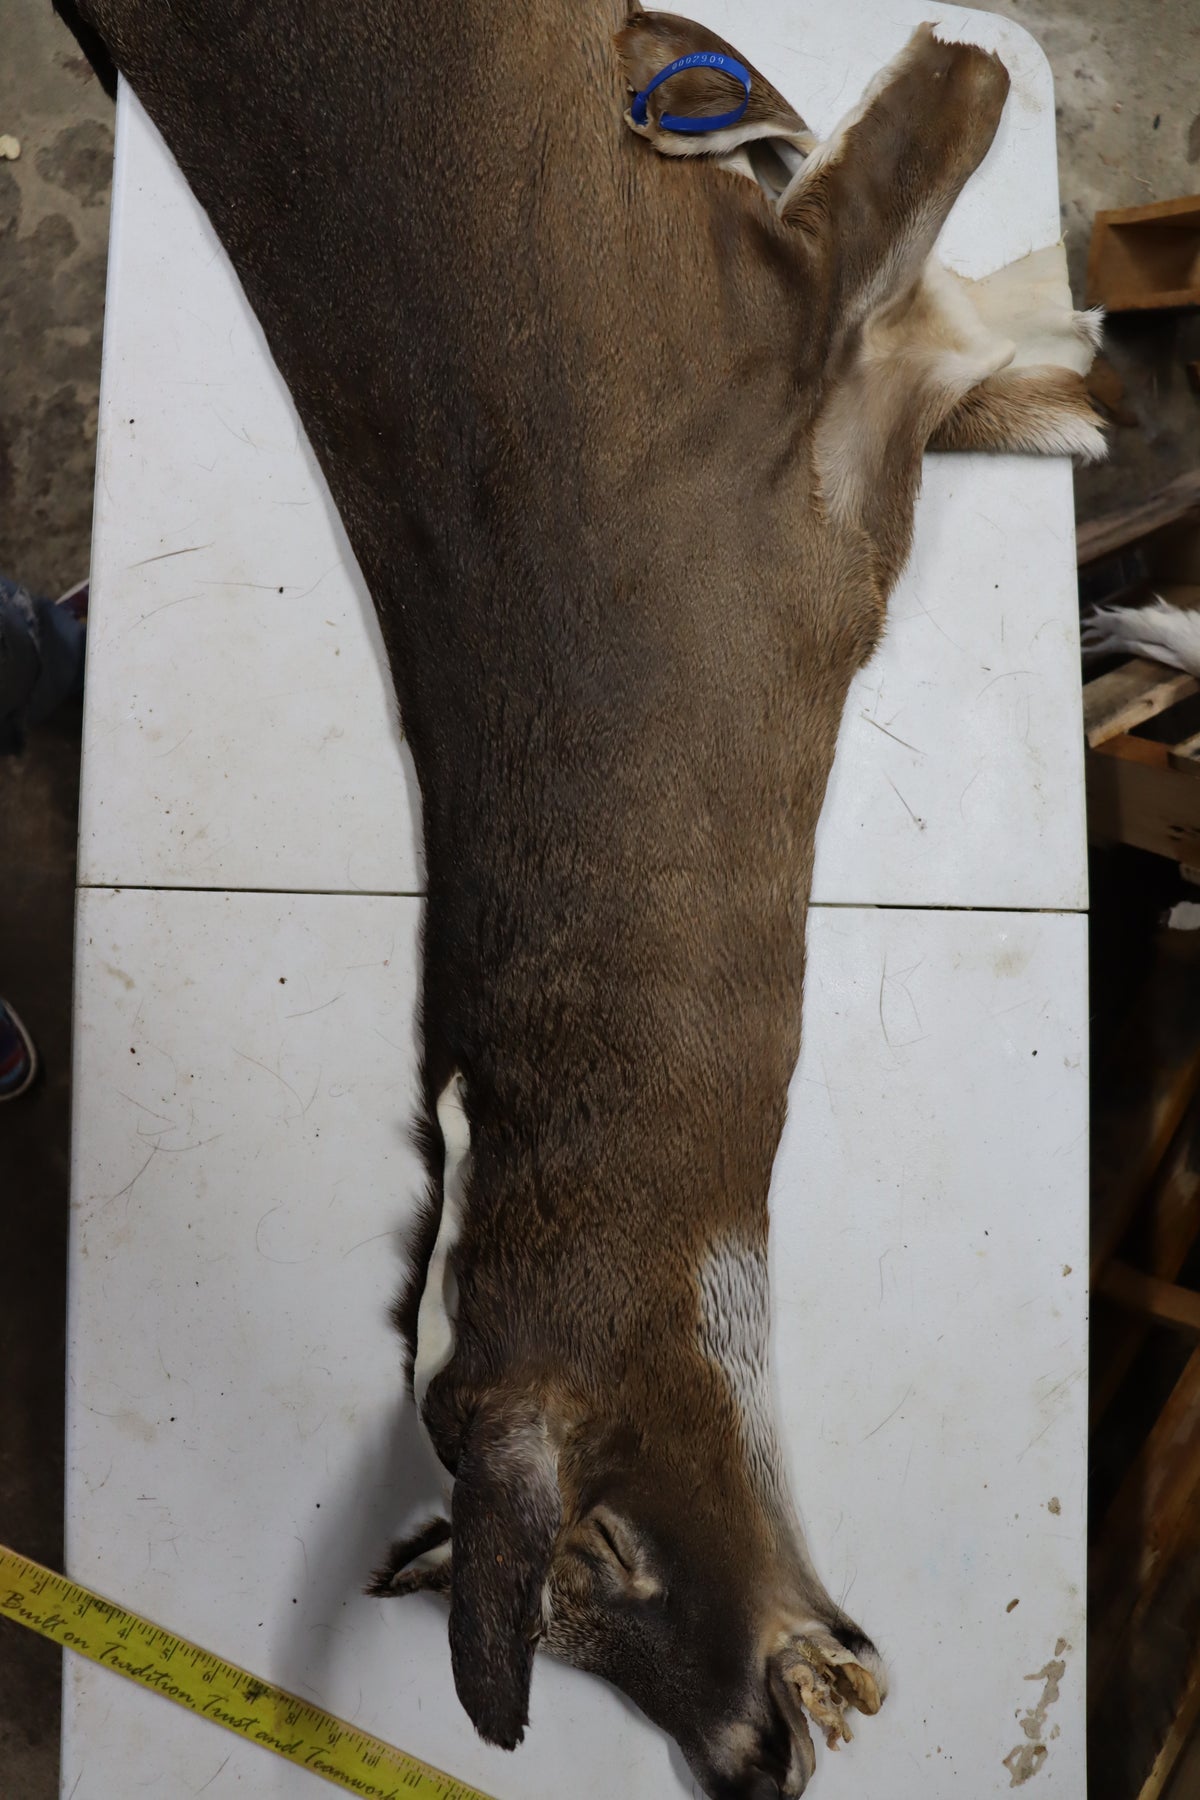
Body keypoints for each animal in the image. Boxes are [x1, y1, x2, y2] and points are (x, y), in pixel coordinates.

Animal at [72, 3, 1102, 1794]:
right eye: (570, 1627)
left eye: (603, 1550)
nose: (751, 1756)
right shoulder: (844, 373)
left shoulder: (799, 347)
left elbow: (948, 118)